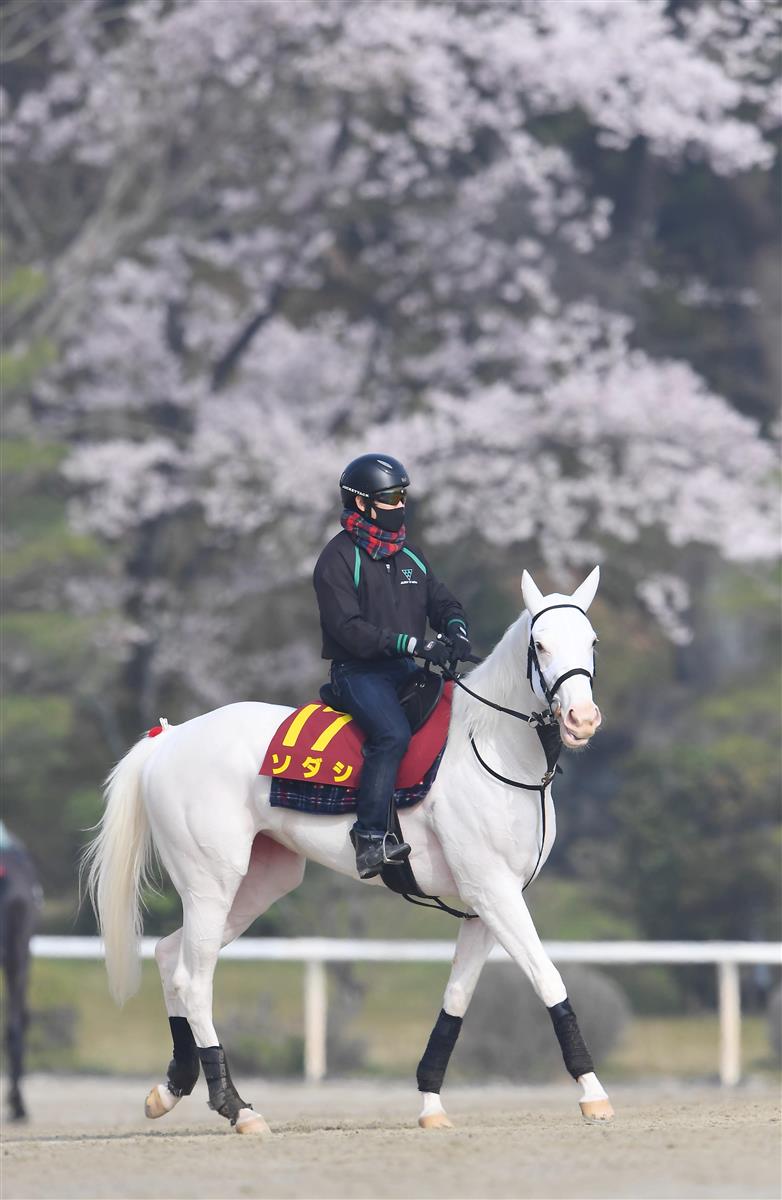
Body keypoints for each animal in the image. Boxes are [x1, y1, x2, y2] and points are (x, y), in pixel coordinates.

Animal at [83, 568, 611, 1132]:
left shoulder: (484, 904)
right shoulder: (494, 892)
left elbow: (457, 997)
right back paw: (237, 1107)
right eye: (540, 643)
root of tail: (172, 737)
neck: (491, 747)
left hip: (261, 882)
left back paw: (170, 1088)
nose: (581, 719)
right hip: (211, 884)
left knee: (167, 957)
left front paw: (431, 1103)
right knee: (193, 978)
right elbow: (548, 977)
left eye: (592, 641)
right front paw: (593, 1093)